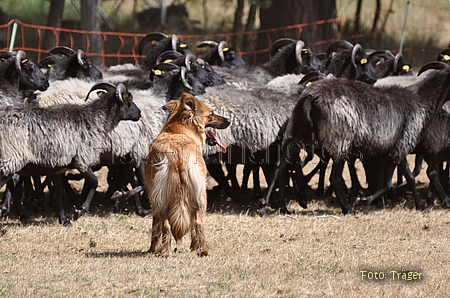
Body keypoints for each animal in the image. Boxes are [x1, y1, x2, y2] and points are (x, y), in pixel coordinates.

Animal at [0, 81, 141, 224]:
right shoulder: (82, 160)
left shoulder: (57, 167)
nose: (139, 113)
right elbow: (95, 182)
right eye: (129, 101)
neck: (96, 119)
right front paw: (80, 211)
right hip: (11, 160)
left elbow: (58, 190)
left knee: (11, 185)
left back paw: (21, 215)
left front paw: (64, 219)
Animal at [147, 93, 230, 256]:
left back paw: (165, 251)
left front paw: (153, 248)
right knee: (197, 221)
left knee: (166, 224)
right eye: (212, 114)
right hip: (200, 196)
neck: (180, 129)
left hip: (162, 198)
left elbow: (155, 226)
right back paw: (201, 250)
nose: (229, 121)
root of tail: (178, 154)